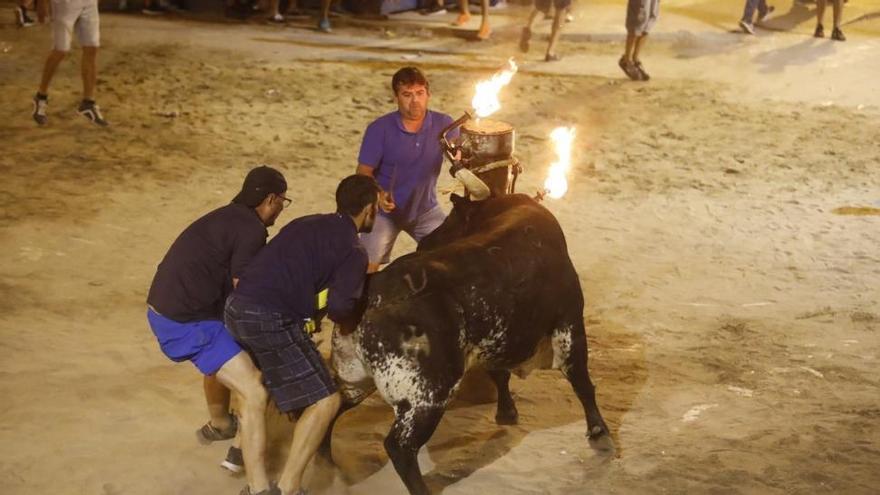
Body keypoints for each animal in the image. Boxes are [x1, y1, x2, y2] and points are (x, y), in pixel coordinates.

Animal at [328, 194, 612, 495]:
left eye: (452, 218)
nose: (425, 241)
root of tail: (375, 296)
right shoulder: (569, 323)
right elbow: (582, 382)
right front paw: (599, 432)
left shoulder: (495, 342)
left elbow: (500, 374)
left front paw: (506, 412)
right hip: (427, 396)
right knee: (400, 447)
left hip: (353, 375)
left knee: (333, 406)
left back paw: (326, 467)